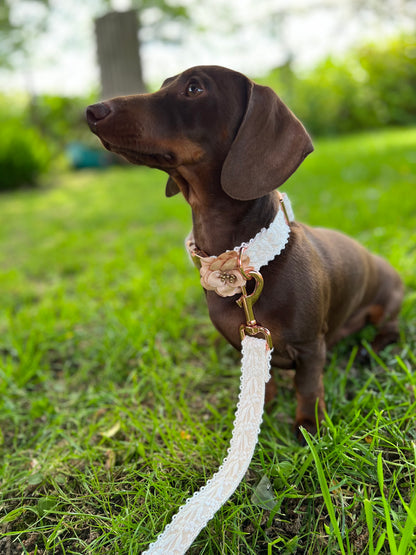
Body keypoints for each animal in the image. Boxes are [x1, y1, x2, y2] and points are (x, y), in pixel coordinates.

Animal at [87, 66, 404, 438]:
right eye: (164, 84)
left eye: (194, 88)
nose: (92, 111)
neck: (252, 261)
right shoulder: (247, 344)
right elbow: (262, 381)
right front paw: (260, 406)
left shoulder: (310, 346)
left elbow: (308, 385)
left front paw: (309, 425)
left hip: (387, 302)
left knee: (391, 329)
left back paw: (372, 351)